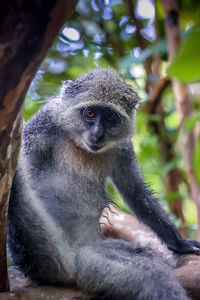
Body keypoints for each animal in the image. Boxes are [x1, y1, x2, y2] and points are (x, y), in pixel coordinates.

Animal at [7, 68, 200, 300]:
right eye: (90, 114)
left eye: (109, 117)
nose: (97, 133)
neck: (78, 142)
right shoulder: (41, 125)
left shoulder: (123, 147)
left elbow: (134, 189)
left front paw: (179, 243)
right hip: (52, 253)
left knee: (148, 266)